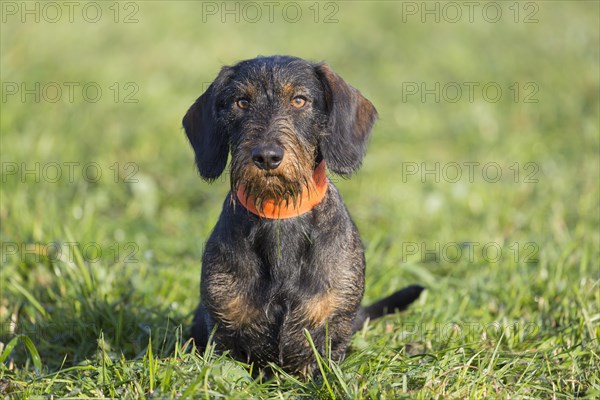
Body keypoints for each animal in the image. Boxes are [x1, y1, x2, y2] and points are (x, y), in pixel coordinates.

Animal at [183, 55, 422, 376]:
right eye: (241, 102)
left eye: (299, 100)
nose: (267, 156)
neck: (280, 212)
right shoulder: (223, 331)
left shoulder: (331, 332)